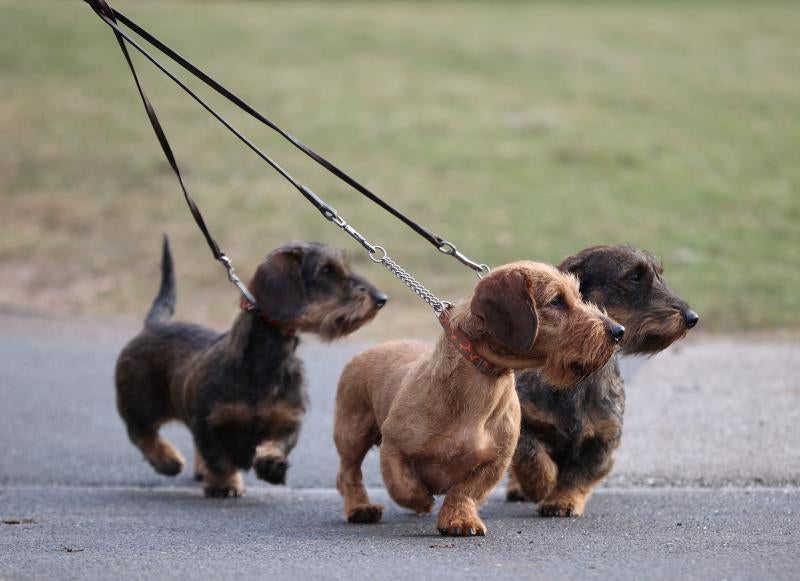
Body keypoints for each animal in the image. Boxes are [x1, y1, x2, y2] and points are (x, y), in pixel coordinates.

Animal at [115, 238, 388, 496]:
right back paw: (167, 459)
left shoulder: (288, 420)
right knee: (141, 433)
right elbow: (218, 459)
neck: (265, 364)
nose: (381, 299)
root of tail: (154, 325)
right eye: (326, 270)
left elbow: (277, 444)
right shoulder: (208, 423)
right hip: (139, 405)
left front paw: (271, 464)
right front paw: (225, 484)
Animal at [332, 260, 620, 536]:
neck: (476, 395)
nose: (618, 331)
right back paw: (361, 508)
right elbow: (402, 485)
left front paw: (459, 519)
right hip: (352, 433)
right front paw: (422, 500)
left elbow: (465, 491)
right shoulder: (393, 447)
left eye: (578, 296)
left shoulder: (496, 462)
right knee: (348, 473)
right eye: (556, 300)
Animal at [510, 242, 696, 516]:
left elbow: (579, 475)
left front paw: (562, 500)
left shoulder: (604, 438)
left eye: (659, 274)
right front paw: (540, 485)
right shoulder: (522, 421)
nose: (692, 317)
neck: (579, 378)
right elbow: (529, 452)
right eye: (634, 276)